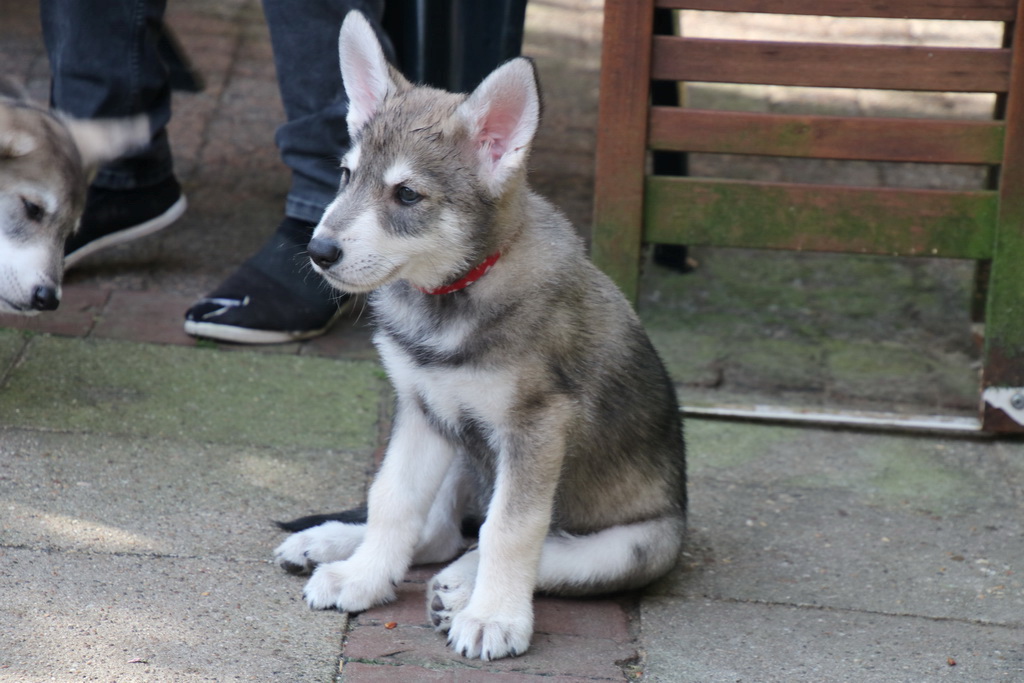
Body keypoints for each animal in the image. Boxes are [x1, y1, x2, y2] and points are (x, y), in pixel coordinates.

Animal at [273, 11, 687, 661]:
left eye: (407, 194)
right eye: (344, 175)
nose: (318, 251)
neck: (451, 300)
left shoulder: (535, 431)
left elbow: (512, 529)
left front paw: (495, 617)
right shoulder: (422, 409)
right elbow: (393, 499)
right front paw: (364, 575)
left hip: (640, 544)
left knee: (513, 546)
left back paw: (462, 586)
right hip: (459, 447)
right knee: (441, 532)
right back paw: (332, 543)